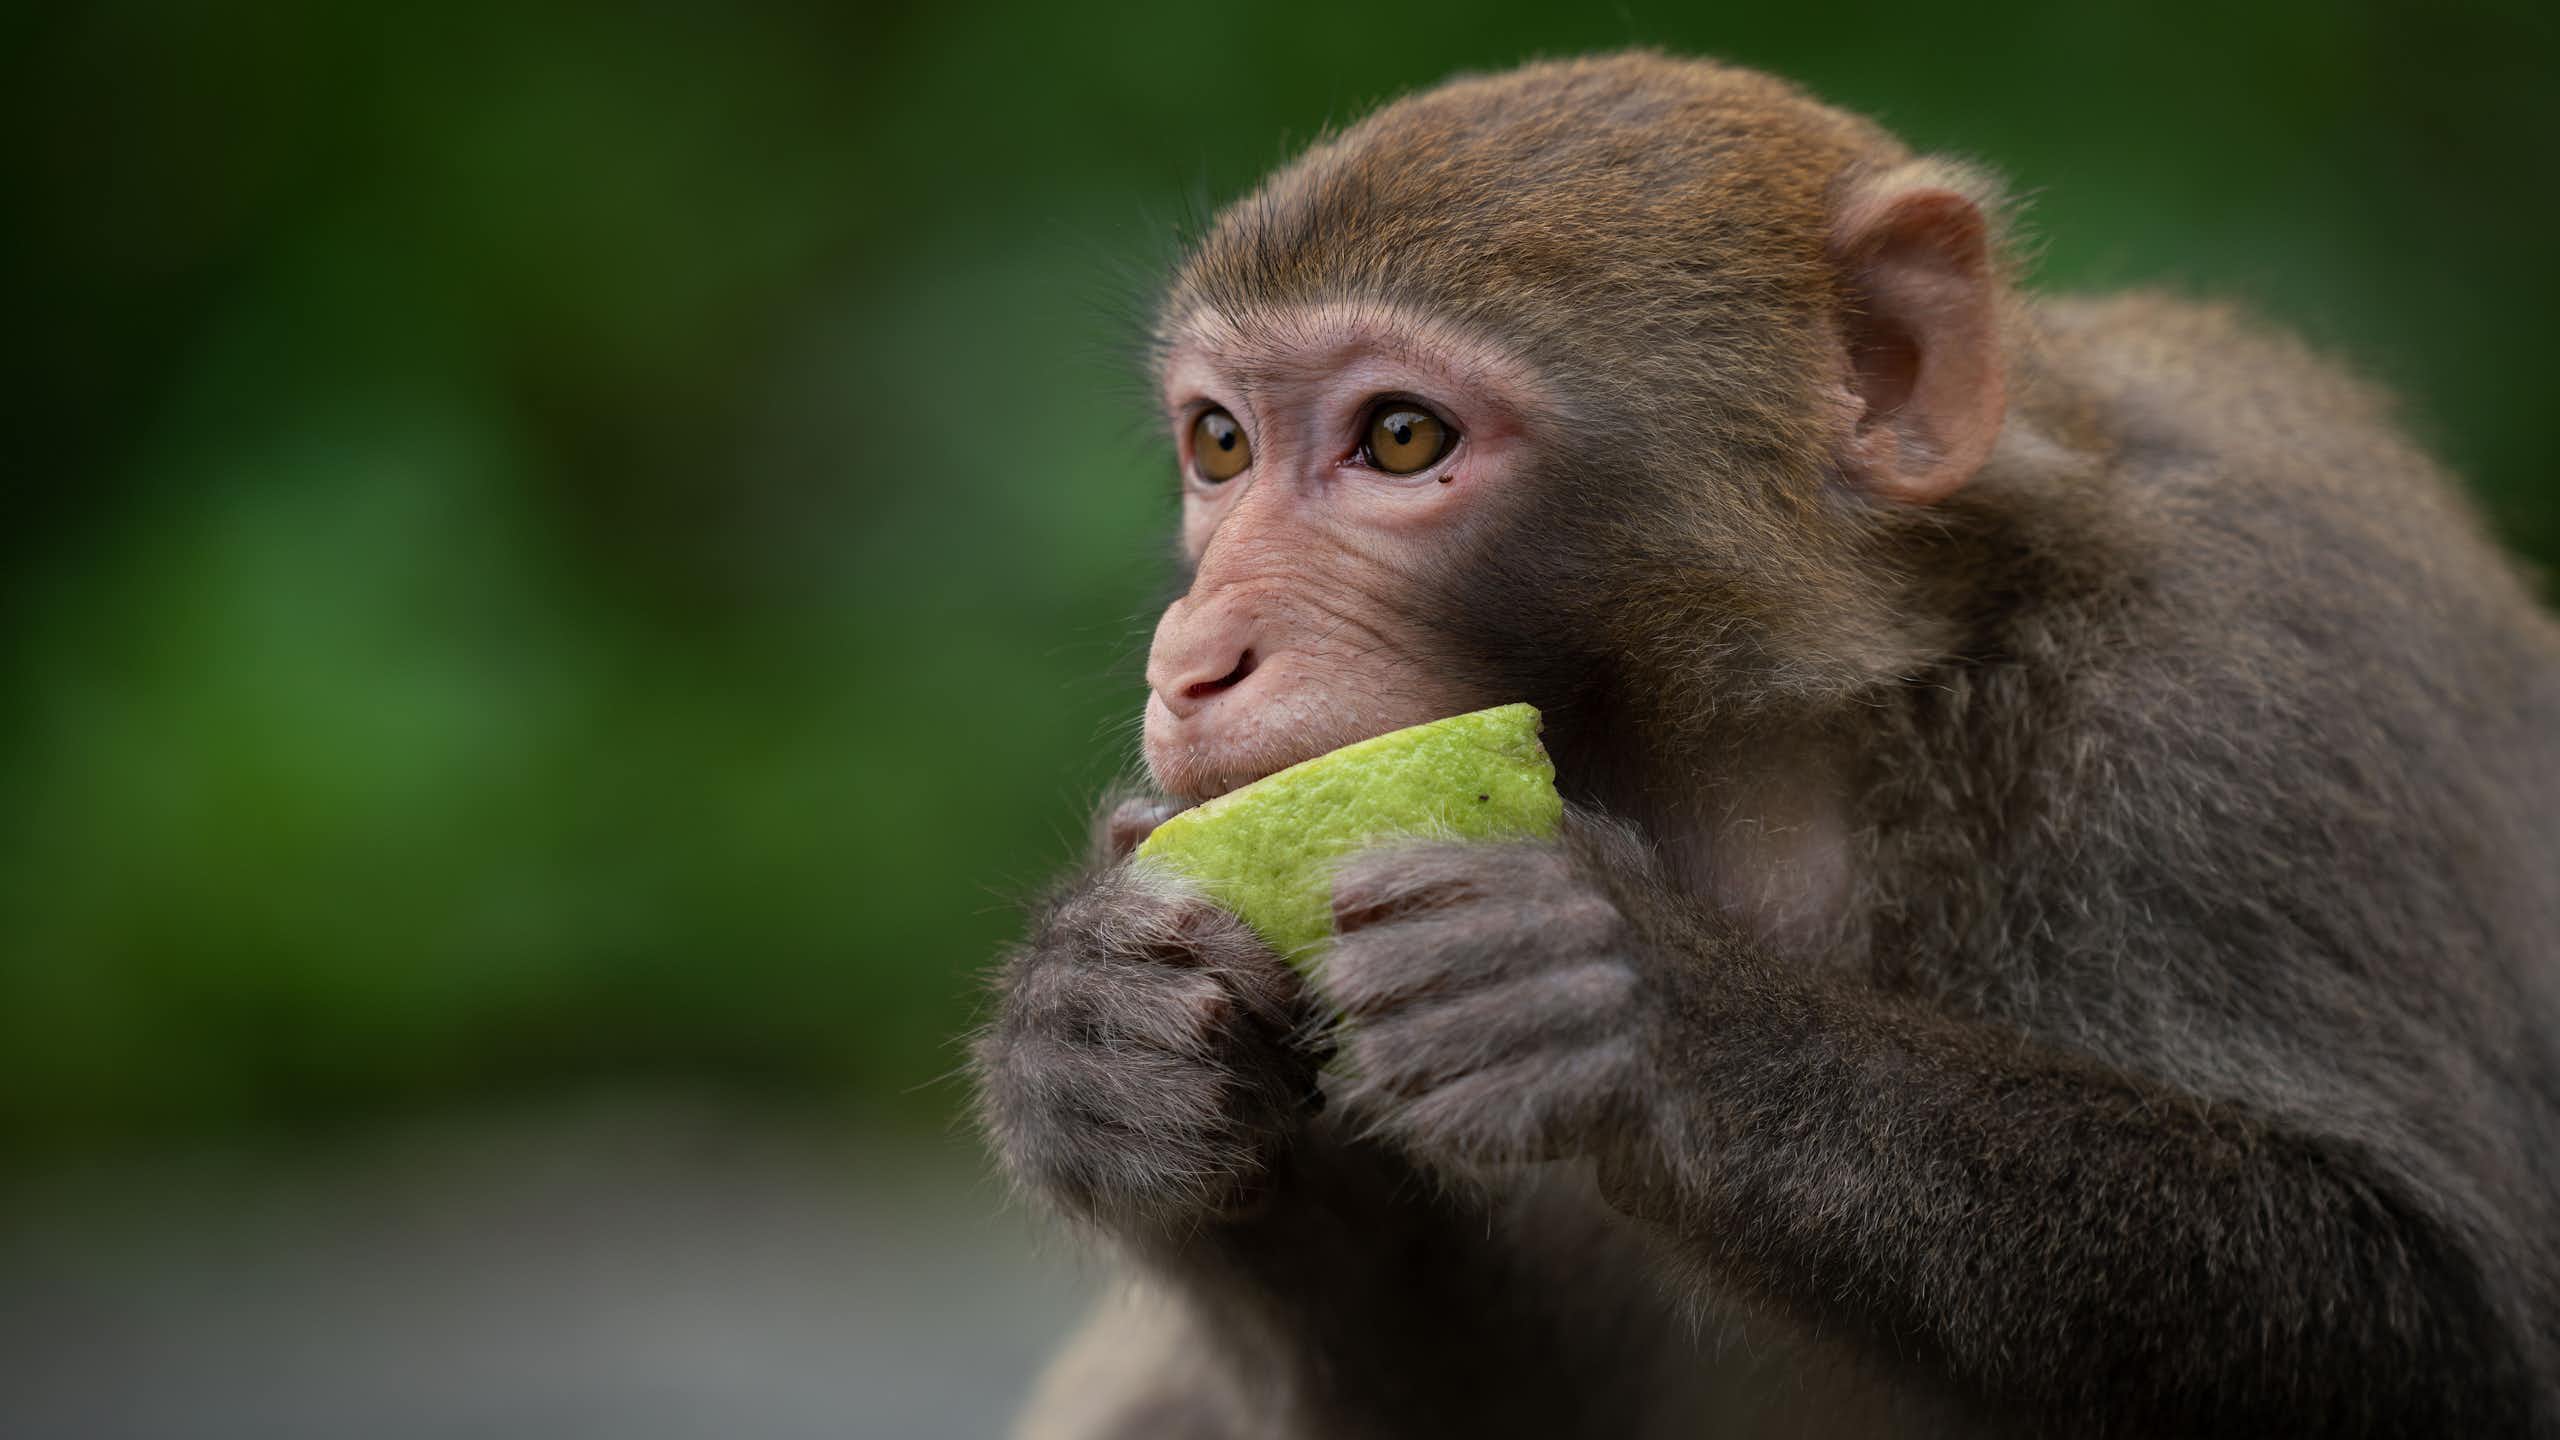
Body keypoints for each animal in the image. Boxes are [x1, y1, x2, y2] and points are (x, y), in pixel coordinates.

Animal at [970, 51, 2560, 1439]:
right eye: (1220, 444)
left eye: (1403, 437)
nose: (1192, 659)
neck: (1790, 757)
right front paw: (1095, 1031)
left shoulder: (2262, 679)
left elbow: (2440, 1312)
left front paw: (1642, 1001)